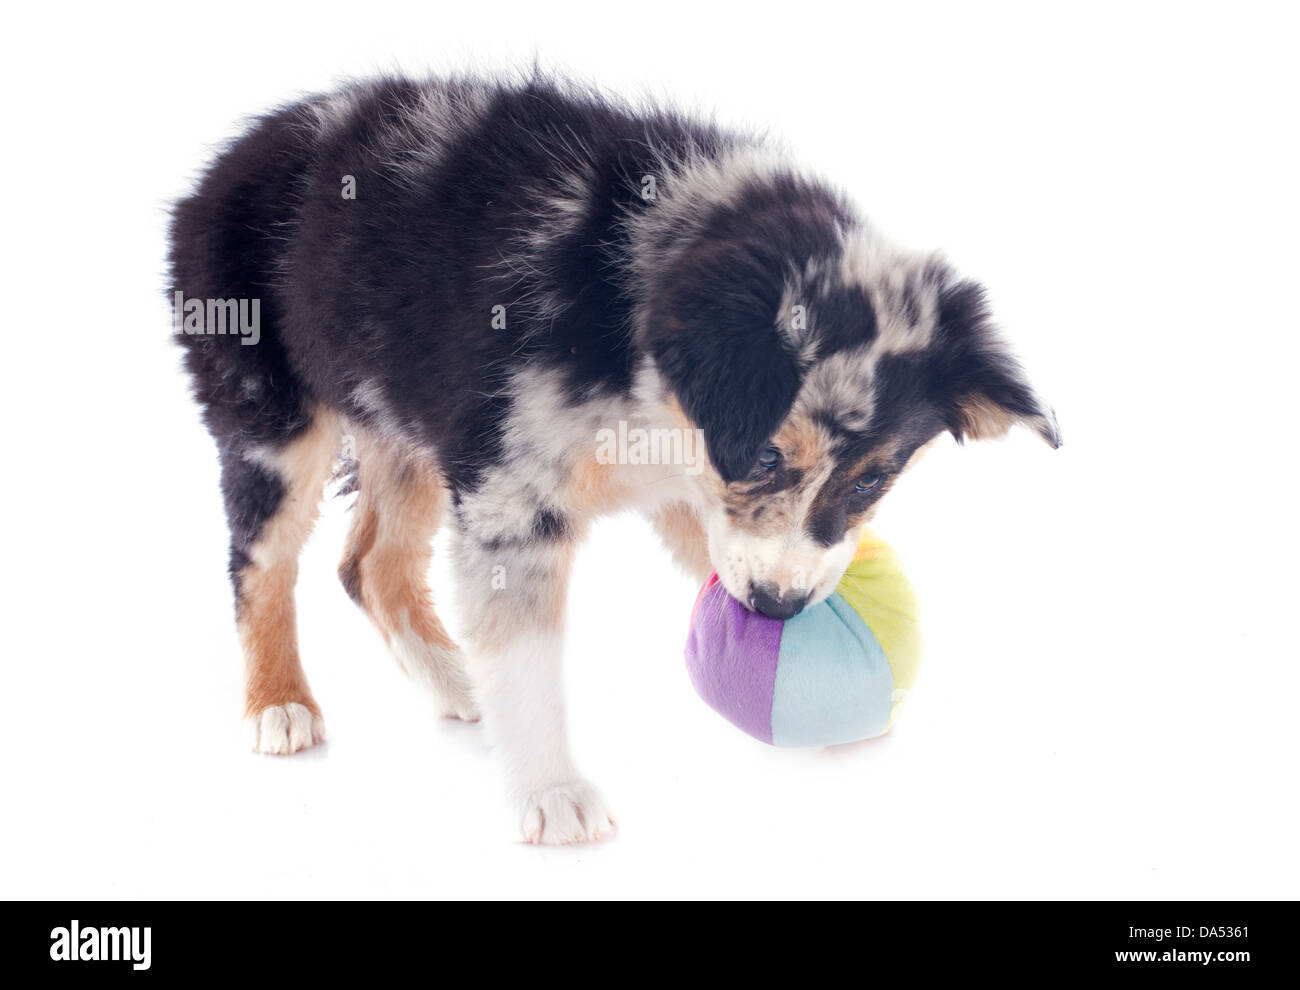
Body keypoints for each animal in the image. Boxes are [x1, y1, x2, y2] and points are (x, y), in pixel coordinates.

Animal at [167, 71, 1060, 841]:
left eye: (873, 477)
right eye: (766, 459)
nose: (778, 612)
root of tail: (221, 169)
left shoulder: (681, 483)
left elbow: (722, 550)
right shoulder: (512, 491)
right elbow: (529, 654)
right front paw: (552, 793)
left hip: (402, 427)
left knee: (370, 564)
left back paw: (455, 681)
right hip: (271, 414)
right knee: (260, 563)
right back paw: (279, 705)